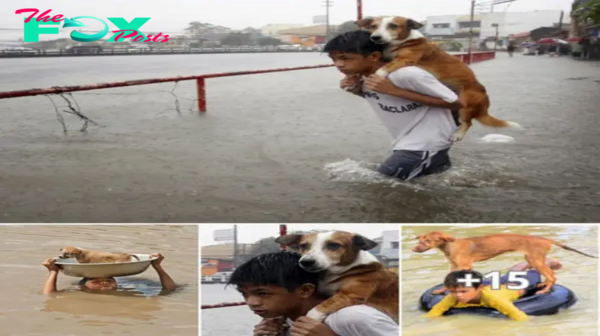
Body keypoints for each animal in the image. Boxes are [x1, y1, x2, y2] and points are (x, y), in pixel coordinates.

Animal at [356, 16, 520, 142]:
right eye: (373, 26)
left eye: (393, 26)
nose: (375, 37)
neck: (403, 41)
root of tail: (485, 100)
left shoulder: (405, 59)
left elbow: (385, 67)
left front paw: (378, 75)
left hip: (465, 106)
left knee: (468, 123)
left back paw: (458, 135)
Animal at [410, 231, 596, 294]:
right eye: (421, 240)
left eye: (427, 241)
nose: (414, 249)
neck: (449, 245)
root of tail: (544, 239)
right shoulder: (454, 266)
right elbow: (448, 279)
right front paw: (441, 290)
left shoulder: (464, 265)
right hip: (531, 259)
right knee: (550, 276)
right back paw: (544, 286)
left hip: (536, 260)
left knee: (552, 276)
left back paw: (544, 290)